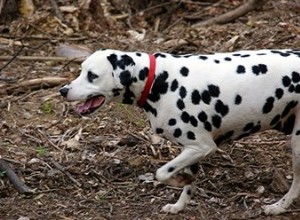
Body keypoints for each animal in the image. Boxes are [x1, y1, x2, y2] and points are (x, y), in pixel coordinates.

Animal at [59, 48, 300, 215]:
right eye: (82, 70)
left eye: (92, 75)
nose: (62, 90)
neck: (158, 80)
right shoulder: (192, 150)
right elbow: (188, 184)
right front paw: (179, 205)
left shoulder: (202, 147)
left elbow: (162, 173)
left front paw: (178, 181)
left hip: (297, 146)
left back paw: (279, 206)